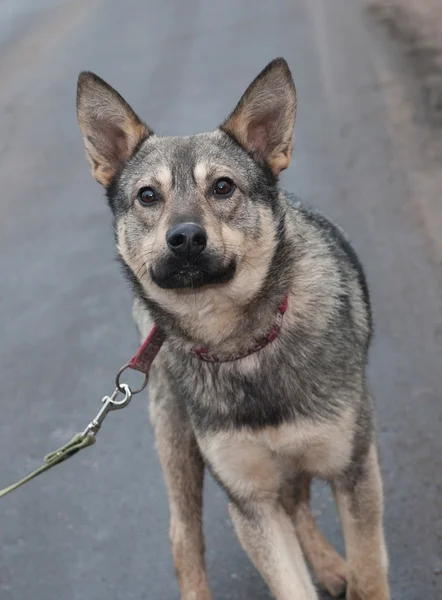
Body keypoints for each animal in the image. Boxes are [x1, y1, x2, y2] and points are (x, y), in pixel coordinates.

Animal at [77, 57, 390, 600]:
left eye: (222, 187)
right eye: (147, 196)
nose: (184, 238)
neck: (241, 345)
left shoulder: (354, 469)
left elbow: (369, 576)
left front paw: (345, 571)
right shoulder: (249, 500)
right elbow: (289, 583)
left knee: (298, 500)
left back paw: (330, 564)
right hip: (182, 455)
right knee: (184, 538)